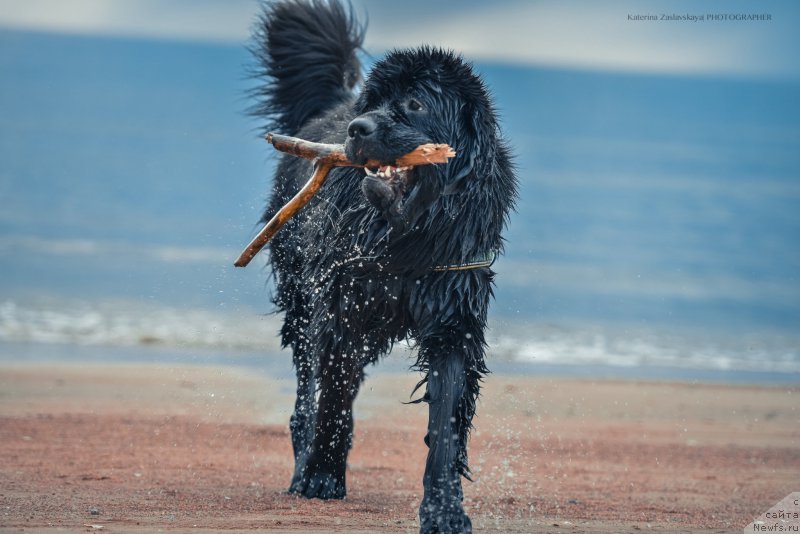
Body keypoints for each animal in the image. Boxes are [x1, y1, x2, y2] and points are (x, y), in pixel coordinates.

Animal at [250, 2, 520, 532]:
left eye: (415, 104)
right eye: (373, 101)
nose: (358, 128)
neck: (408, 236)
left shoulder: (453, 316)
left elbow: (446, 421)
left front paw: (445, 509)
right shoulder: (342, 305)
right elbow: (333, 395)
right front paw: (321, 477)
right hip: (299, 293)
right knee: (307, 385)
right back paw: (303, 459)